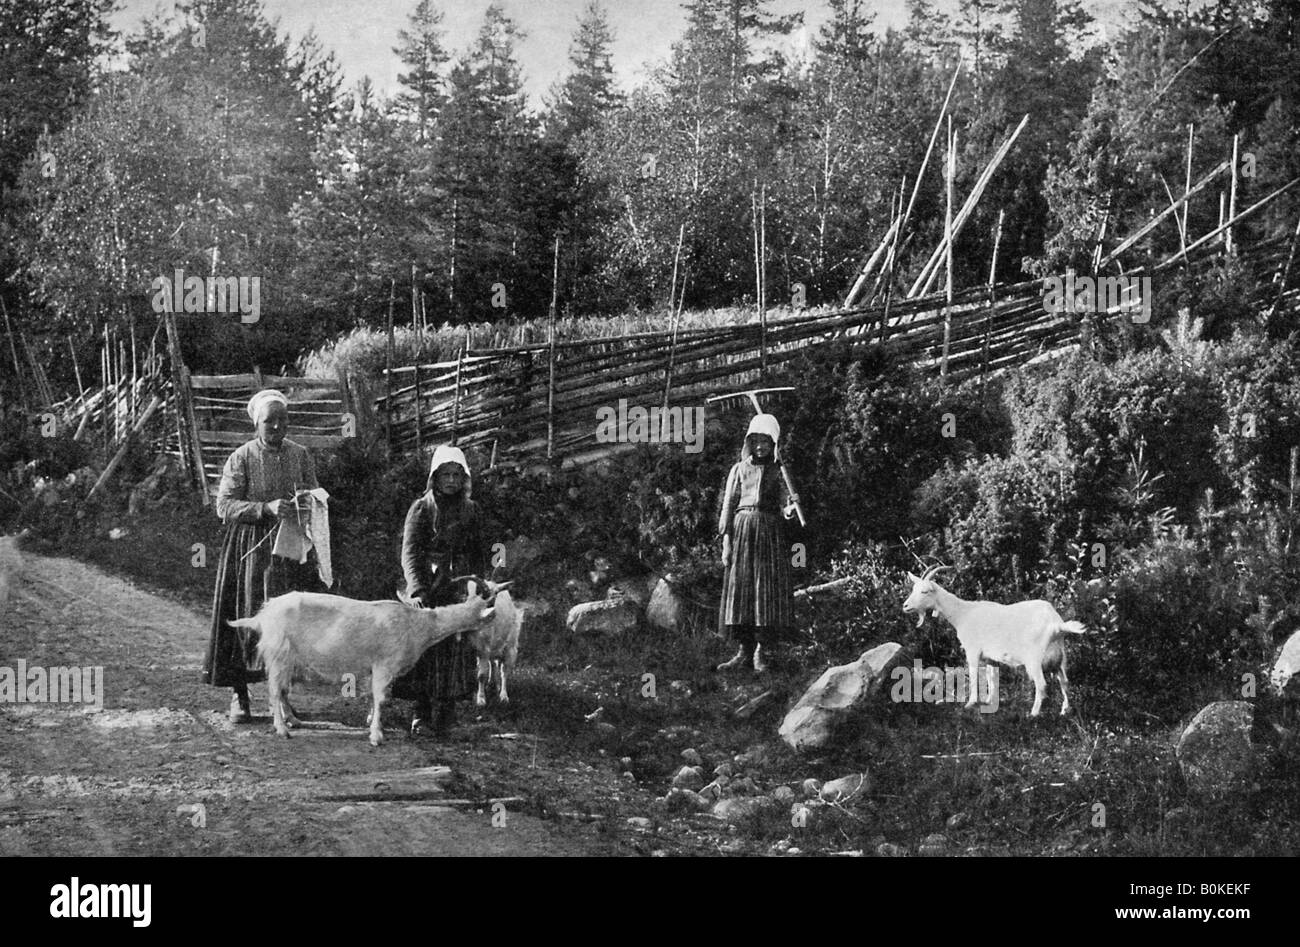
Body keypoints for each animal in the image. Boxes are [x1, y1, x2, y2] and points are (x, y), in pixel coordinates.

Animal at [230, 585, 501, 749]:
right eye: (483, 614)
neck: (417, 625)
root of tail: (263, 615)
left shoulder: (375, 669)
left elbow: (372, 698)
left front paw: (373, 724)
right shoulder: (384, 664)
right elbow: (381, 699)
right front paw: (376, 736)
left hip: (290, 660)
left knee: (283, 691)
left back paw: (293, 720)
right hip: (280, 654)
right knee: (275, 691)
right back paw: (282, 729)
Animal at [894, 567, 1086, 712]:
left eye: (924, 591)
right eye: (913, 589)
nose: (905, 606)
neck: (963, 614)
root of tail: (1056, 624)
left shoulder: (973, 651)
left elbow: (973, 674)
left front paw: (970, 703)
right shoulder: (990, 658)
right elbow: (991, 678)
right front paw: (988, 701)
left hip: (1034, 660)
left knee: (1042, 685)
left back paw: (1033, 714)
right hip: (1060, 657)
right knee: (1065, 681)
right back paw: (1064, 711)